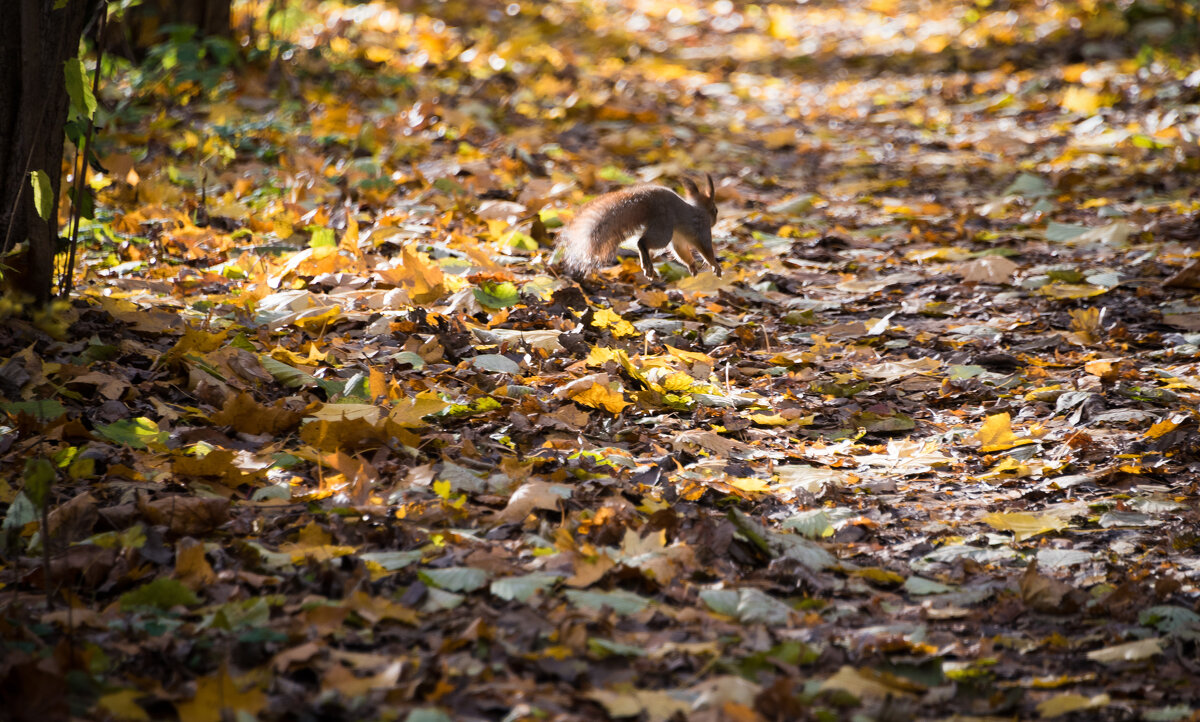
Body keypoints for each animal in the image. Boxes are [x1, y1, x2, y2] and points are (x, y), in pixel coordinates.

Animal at [554, 172, 720, 277]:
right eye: (716, 210)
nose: (715, 220)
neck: (700, 209)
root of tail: (648, 202)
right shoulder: (703, 230)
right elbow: (706, 250)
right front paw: (716, 266)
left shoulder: (678, 240)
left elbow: (682, 252)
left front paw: (692, 266)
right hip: (663, 230)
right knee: (642, 242)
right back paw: (647, 266)